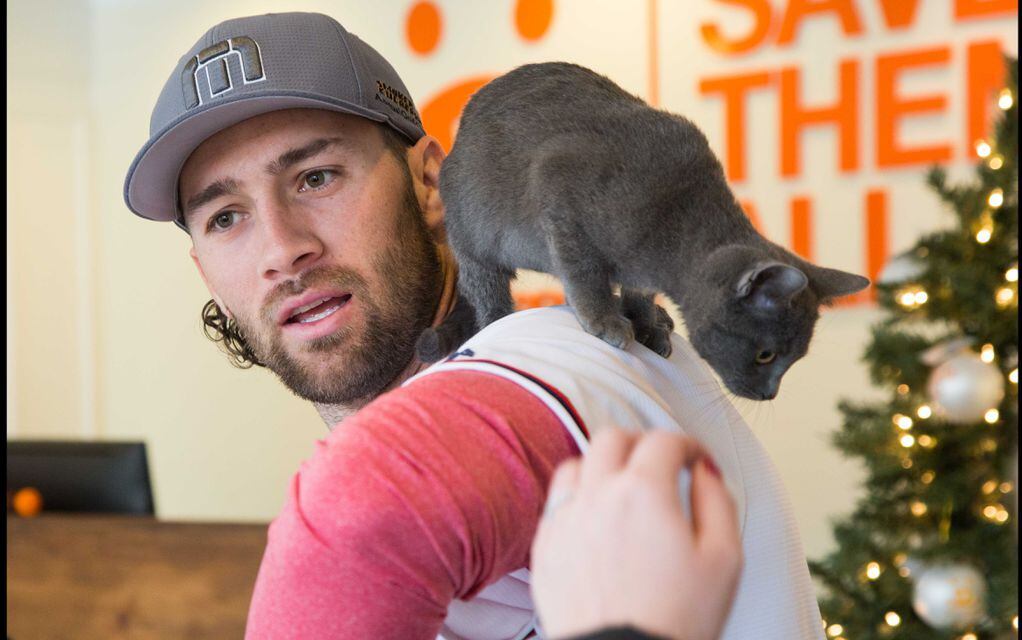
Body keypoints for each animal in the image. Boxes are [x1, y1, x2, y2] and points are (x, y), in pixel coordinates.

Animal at [416, 61, 870, 398]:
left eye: (792, 360)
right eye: (766, 356)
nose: (769, 394)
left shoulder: (637, 267)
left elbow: (638, 290)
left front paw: (646, 322)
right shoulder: (558, 187)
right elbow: (584, 274)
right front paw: (605, 320)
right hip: (472, 231)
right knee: (486, 289)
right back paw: (500, 317)